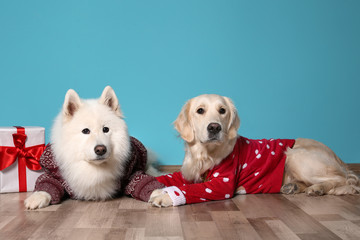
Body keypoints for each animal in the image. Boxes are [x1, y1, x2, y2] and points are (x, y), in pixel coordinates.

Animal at [26, 86, 160, 210]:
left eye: (105, 129)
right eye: (86, 131)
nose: (100, 149)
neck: (94, 168)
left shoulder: (131, 171)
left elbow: (141, 181)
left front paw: (160, 194)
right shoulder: (54, 173)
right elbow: (47, 183)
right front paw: (36, 197)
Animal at [148, 94, 358, 207]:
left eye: (222, 110)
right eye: (200, 110)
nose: (214, 127)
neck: (205, 154)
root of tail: (339, 159)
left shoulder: (221, 185)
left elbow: (189, 189)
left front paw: (164, 195)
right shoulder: (188, 173)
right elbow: (168, 177)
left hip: (296, 156)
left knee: (342, 180)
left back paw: (317, 188)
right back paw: (293, 187)